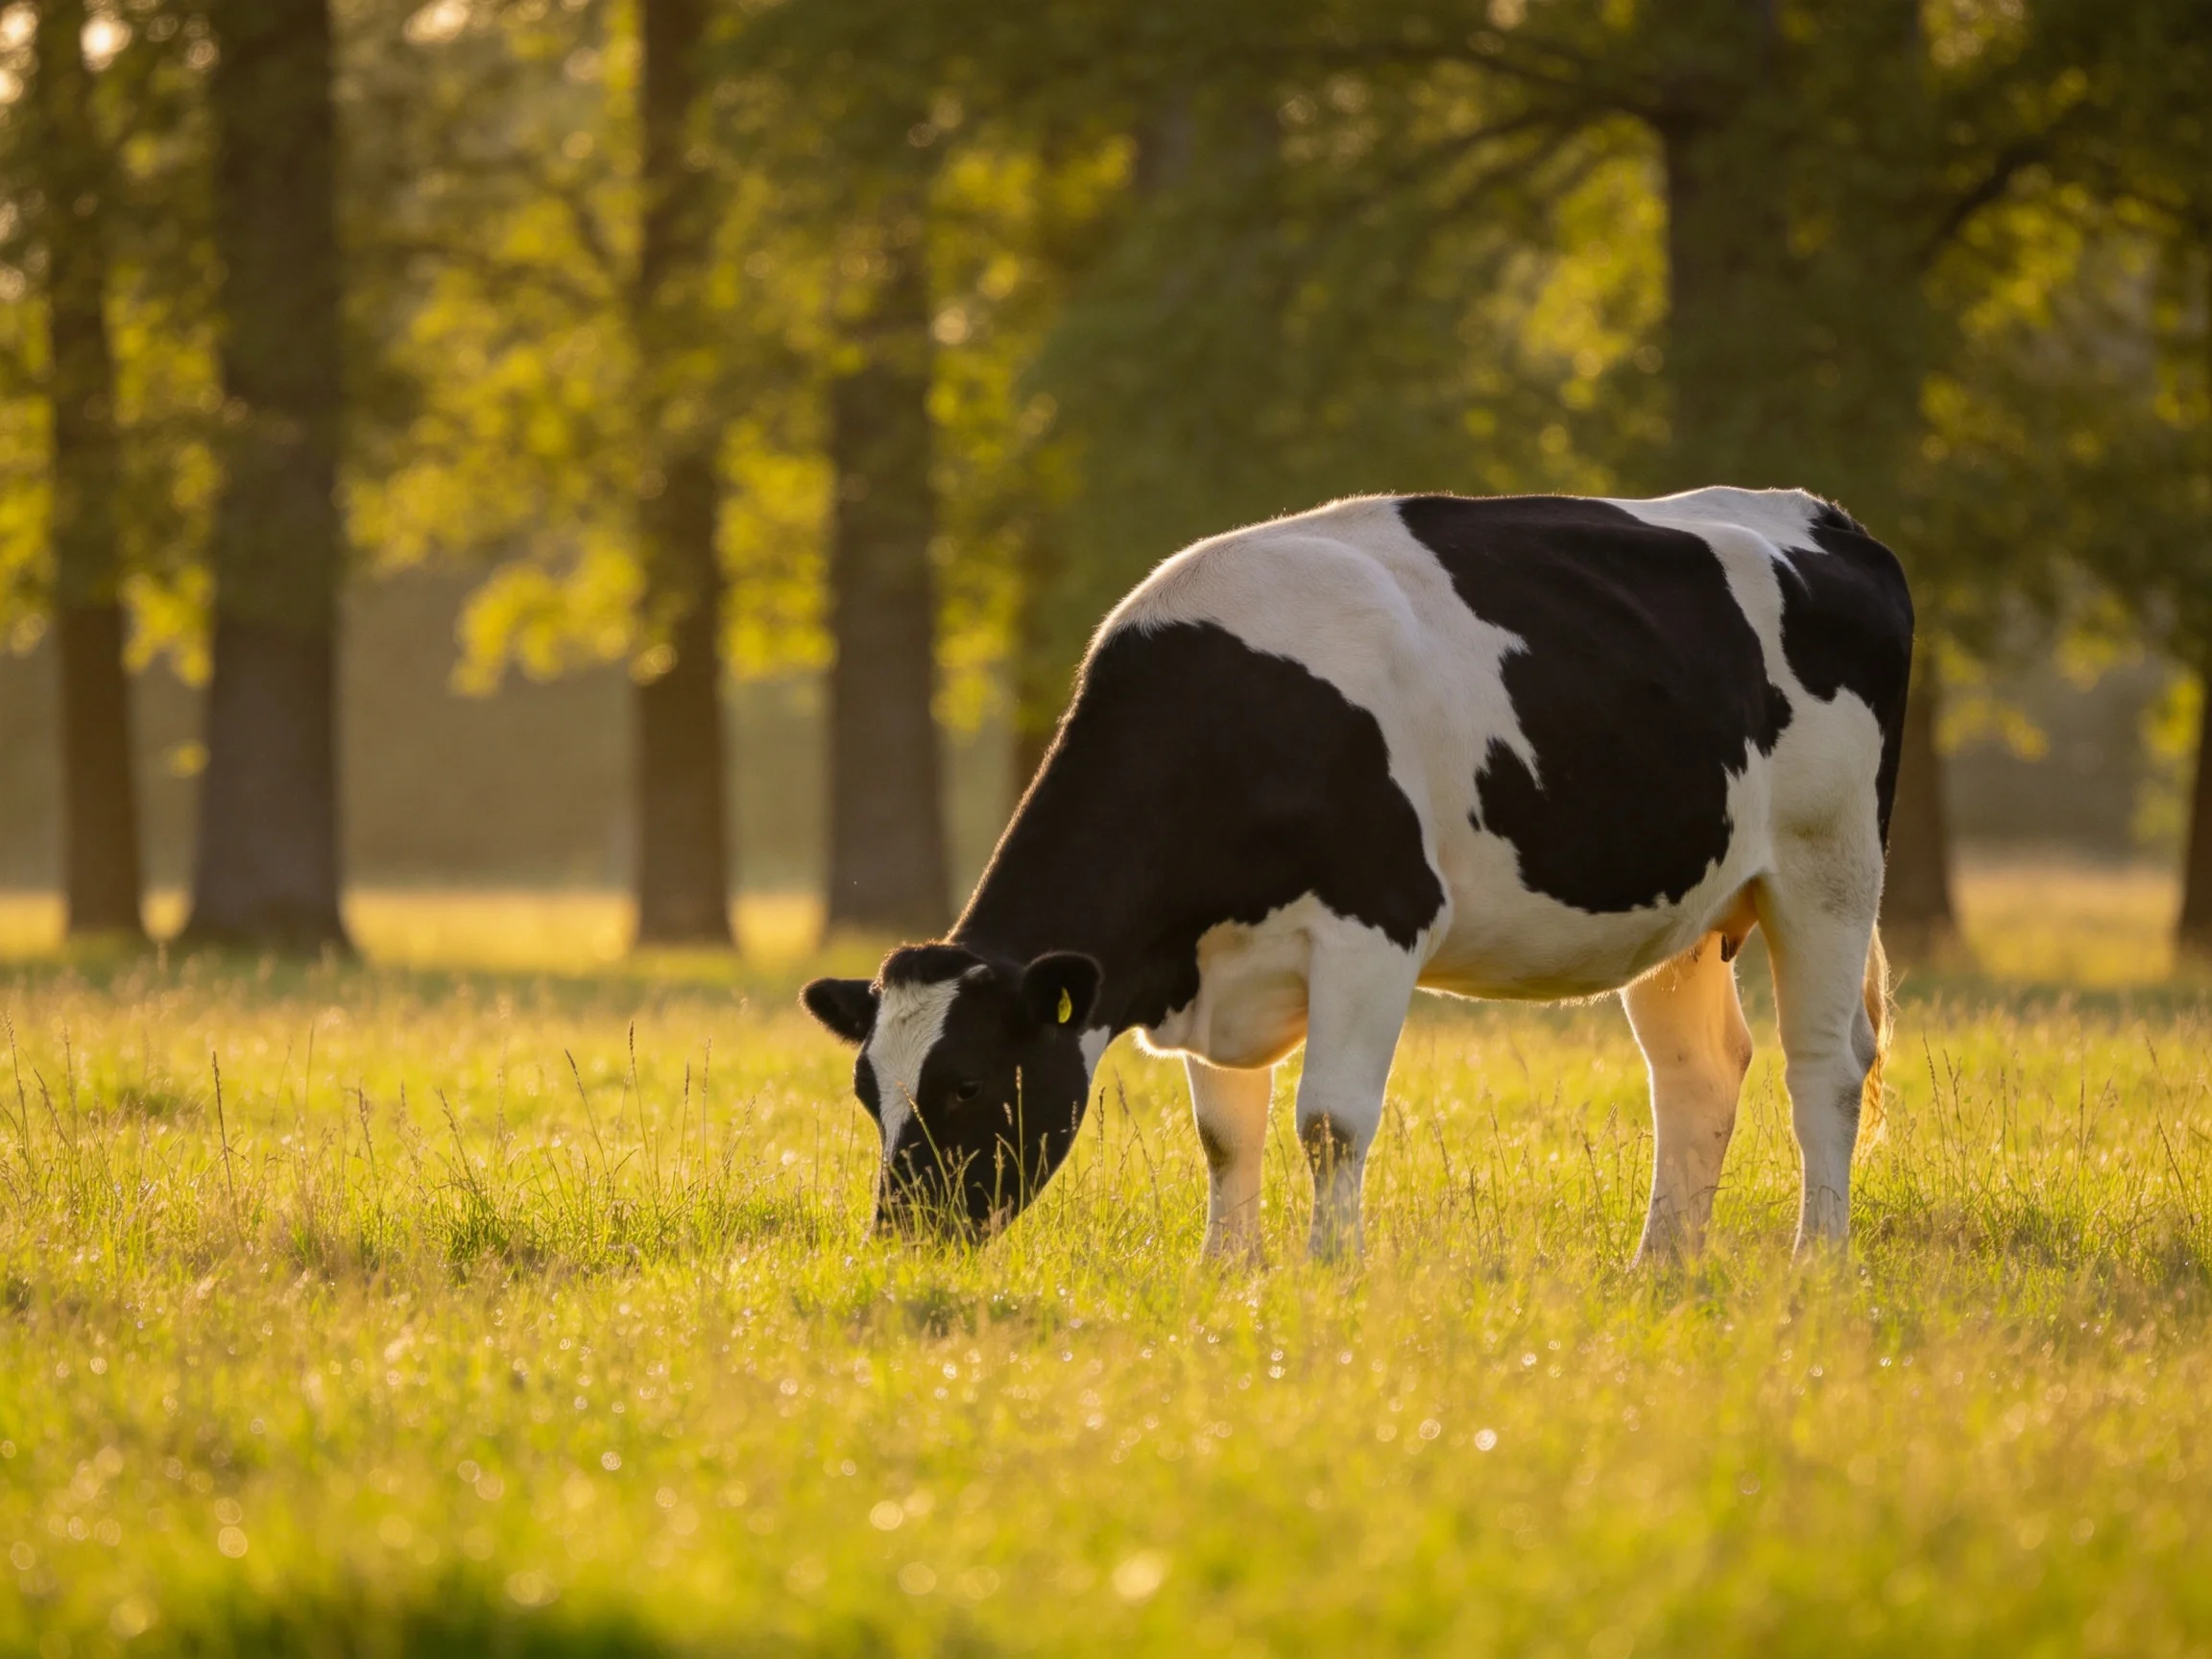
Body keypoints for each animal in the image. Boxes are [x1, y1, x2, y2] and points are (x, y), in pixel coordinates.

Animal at [803, 488, 1913, 1264]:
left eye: (968, 1083)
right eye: (868, 1090)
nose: (902, 1237)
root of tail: (1826, 518)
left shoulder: (1376, 923)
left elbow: (1329, 1123)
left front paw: (1331, 1269)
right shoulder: (1216, 964)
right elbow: (1224, 1132)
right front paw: (1227, 1270)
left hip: (1829, 865)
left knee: (1824, 1065)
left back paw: (1815, 1265)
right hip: (1680, 913)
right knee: (1698, 1071)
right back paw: (1660, 1271)